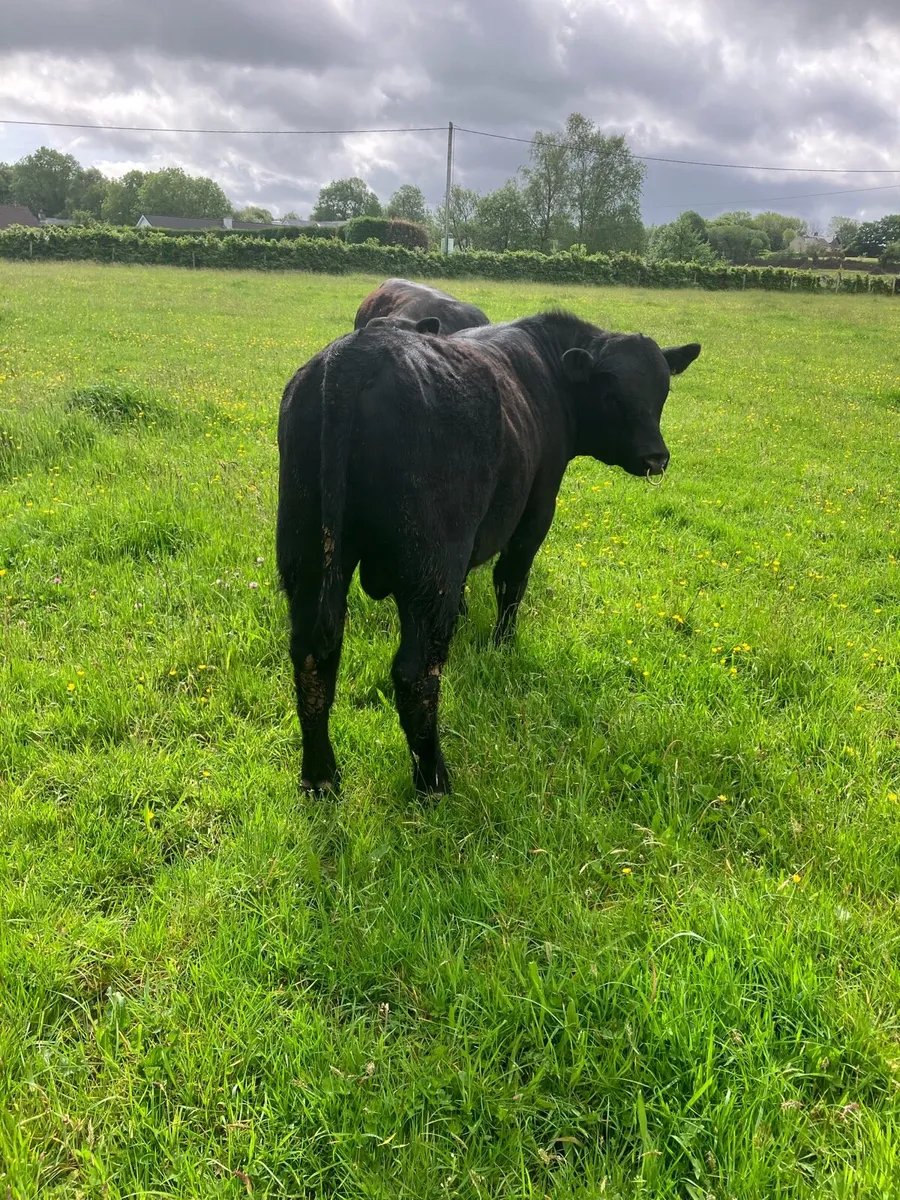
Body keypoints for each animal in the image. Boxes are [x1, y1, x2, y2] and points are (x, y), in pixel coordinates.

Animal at [276, 311, 701, 797]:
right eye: (612, 393)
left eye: (662, 392)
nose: (656, 457)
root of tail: (357, 352)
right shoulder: (536, 508)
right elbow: (511, 580)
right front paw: (503, 643)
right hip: (428, 568)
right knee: (415, 673)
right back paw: (434, 782)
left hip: (308, 554)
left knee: (313, 658)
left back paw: (320, 778)